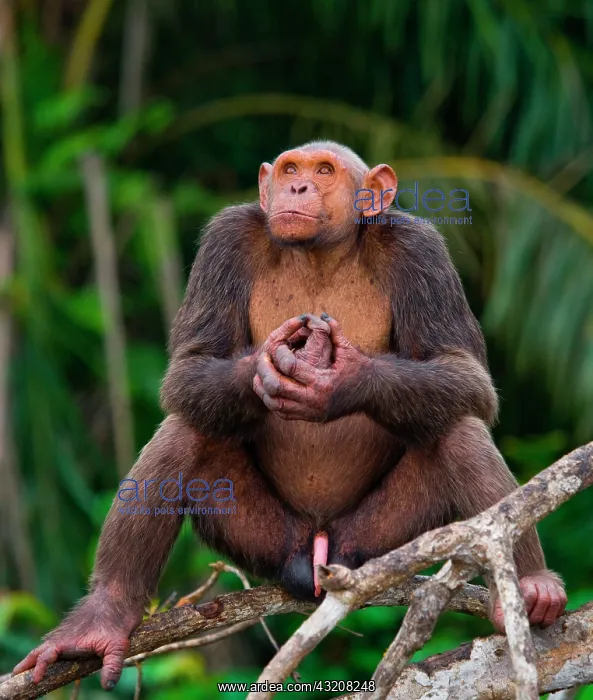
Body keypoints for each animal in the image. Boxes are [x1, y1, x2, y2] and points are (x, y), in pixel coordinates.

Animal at [15, 141, 567, 690]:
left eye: (324, 171)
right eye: (289, 169)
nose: (298, 186)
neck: (320, 254)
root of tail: (317, 546)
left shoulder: (420, 250)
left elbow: (465, 375)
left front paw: (342, 381)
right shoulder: (225, 240)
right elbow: (189, 369)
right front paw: (266, 367)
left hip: (375, 541)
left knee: (456, 428)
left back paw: (529, 587)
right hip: (269, 541)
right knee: (186, 430)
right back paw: (102, 619)